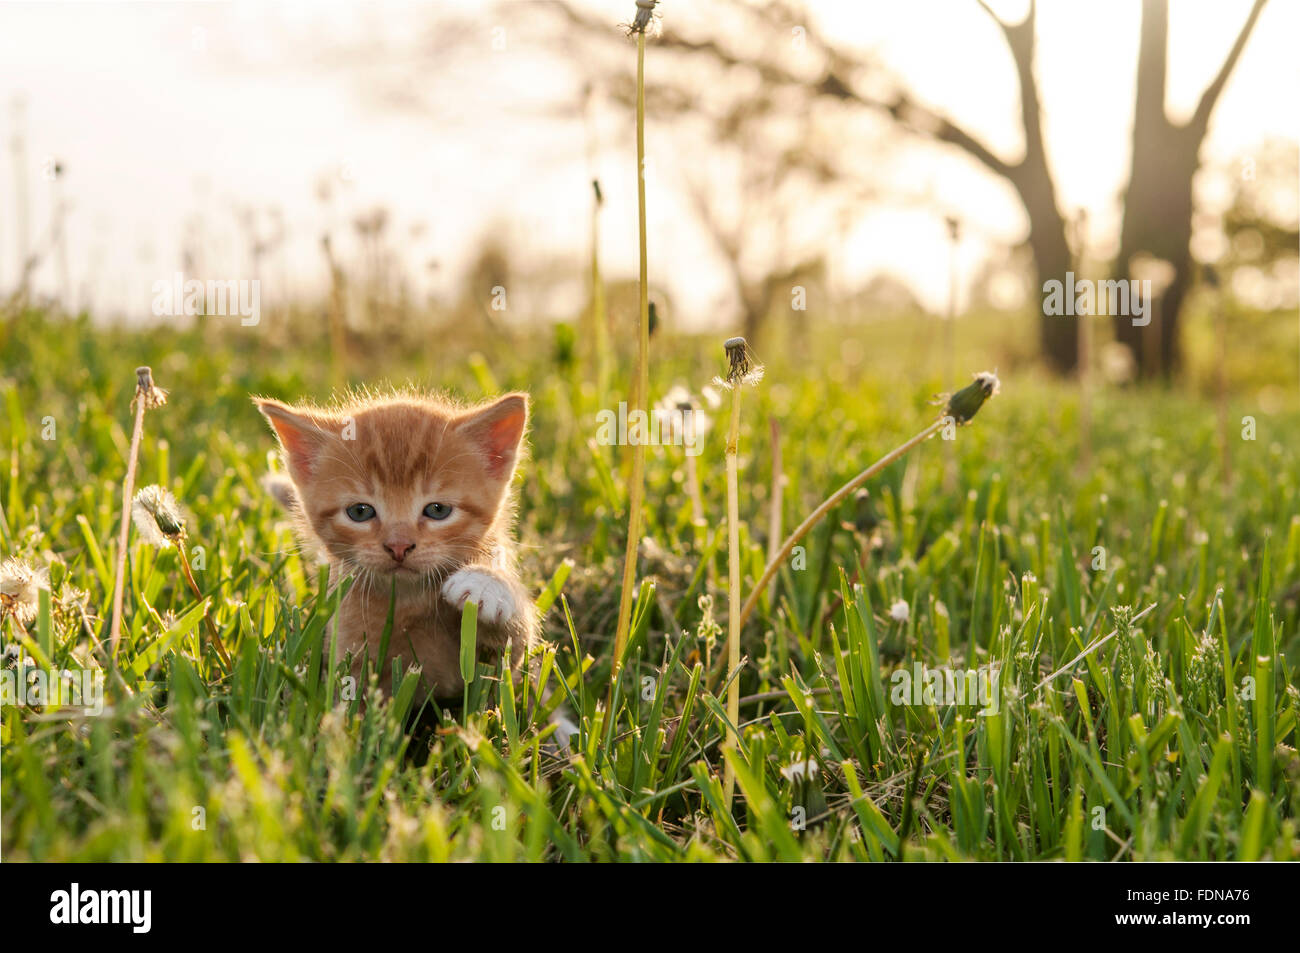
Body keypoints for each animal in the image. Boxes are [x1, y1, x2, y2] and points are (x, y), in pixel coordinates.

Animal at [253, 390, 538, 702]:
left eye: (438, 510)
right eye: (360, 512)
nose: (398, 546)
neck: (410, 601)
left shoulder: (502, 664)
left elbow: (511, 653)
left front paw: (486, 583)